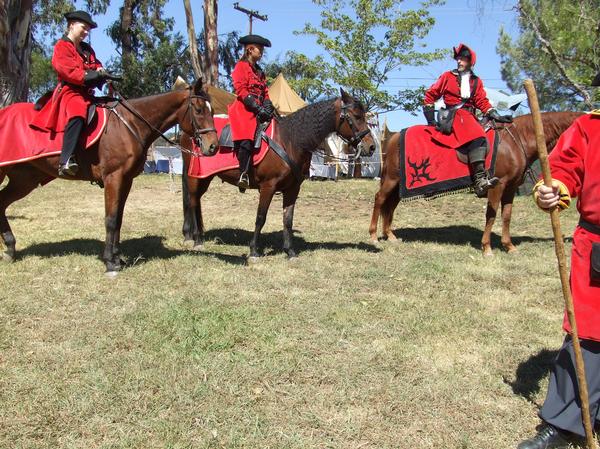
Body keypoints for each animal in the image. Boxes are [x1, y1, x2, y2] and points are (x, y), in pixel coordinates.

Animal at [0, 79, 218, 274]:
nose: (213, 146)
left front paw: (117, 257)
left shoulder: (126, 180)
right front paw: (110, 263)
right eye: (199, 110)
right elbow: (111, 219)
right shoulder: (113, 178)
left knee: (2, 203)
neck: (129, 125)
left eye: (212, 110)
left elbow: (118, 219)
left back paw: (10, 249)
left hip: (24, 180)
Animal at [179, 87, 376, 260]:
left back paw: (197, 236)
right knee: (192, 201)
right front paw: (254, 251)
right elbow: (260, 217)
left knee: (196, 202)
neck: (290, 140)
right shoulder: (268, 187)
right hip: (195, 178)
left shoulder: (293, 189)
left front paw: (290, 251)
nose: (372, 146)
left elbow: (288, 219)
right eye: (357, 116)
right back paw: (196, 240)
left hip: (204, 178)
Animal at [366, 110, 580, 254]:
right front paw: (487, 248)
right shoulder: (497, 186)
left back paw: (390, 235)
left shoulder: (510, 188)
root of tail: (393, 137)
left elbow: (506, 216)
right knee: (379, 199)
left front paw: (509, 246)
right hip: (392, 179)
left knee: (390, 204)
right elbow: (491, 215)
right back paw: (374, 236)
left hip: (398, 184)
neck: (517, 140)